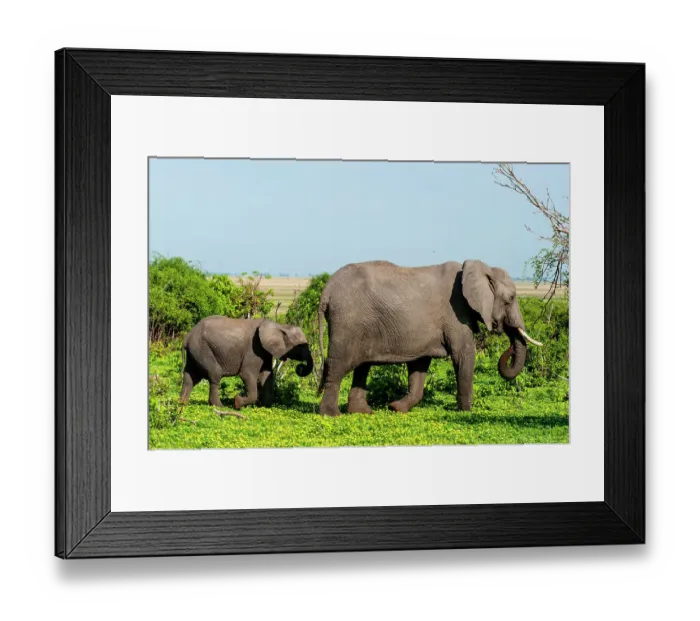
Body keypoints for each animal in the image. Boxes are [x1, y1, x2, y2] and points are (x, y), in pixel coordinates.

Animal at [179, 316, 313, 409]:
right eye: (301, 347)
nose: (300, 367)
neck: (280, 326)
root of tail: (187, 336)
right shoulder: (253, 350)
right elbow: (247, 374)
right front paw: (237, 403)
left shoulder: (264, 352)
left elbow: (267, 376)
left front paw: (265, 406)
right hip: (202, 349)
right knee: (214, 375)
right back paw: (219, 406)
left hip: (195, 352)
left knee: (190, 377)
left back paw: (181, 404)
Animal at [317, 260, 543, 417]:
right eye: (511, 298)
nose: (508, 349)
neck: (480, 268)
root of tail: (326, 291)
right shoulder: (456, 313)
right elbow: (463, 355)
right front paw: (466, 412)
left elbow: (419, 365)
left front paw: (396, 408)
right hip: (347, 323)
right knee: (338, 366)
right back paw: (331, 415)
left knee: (362, 366)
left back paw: (362, 413)